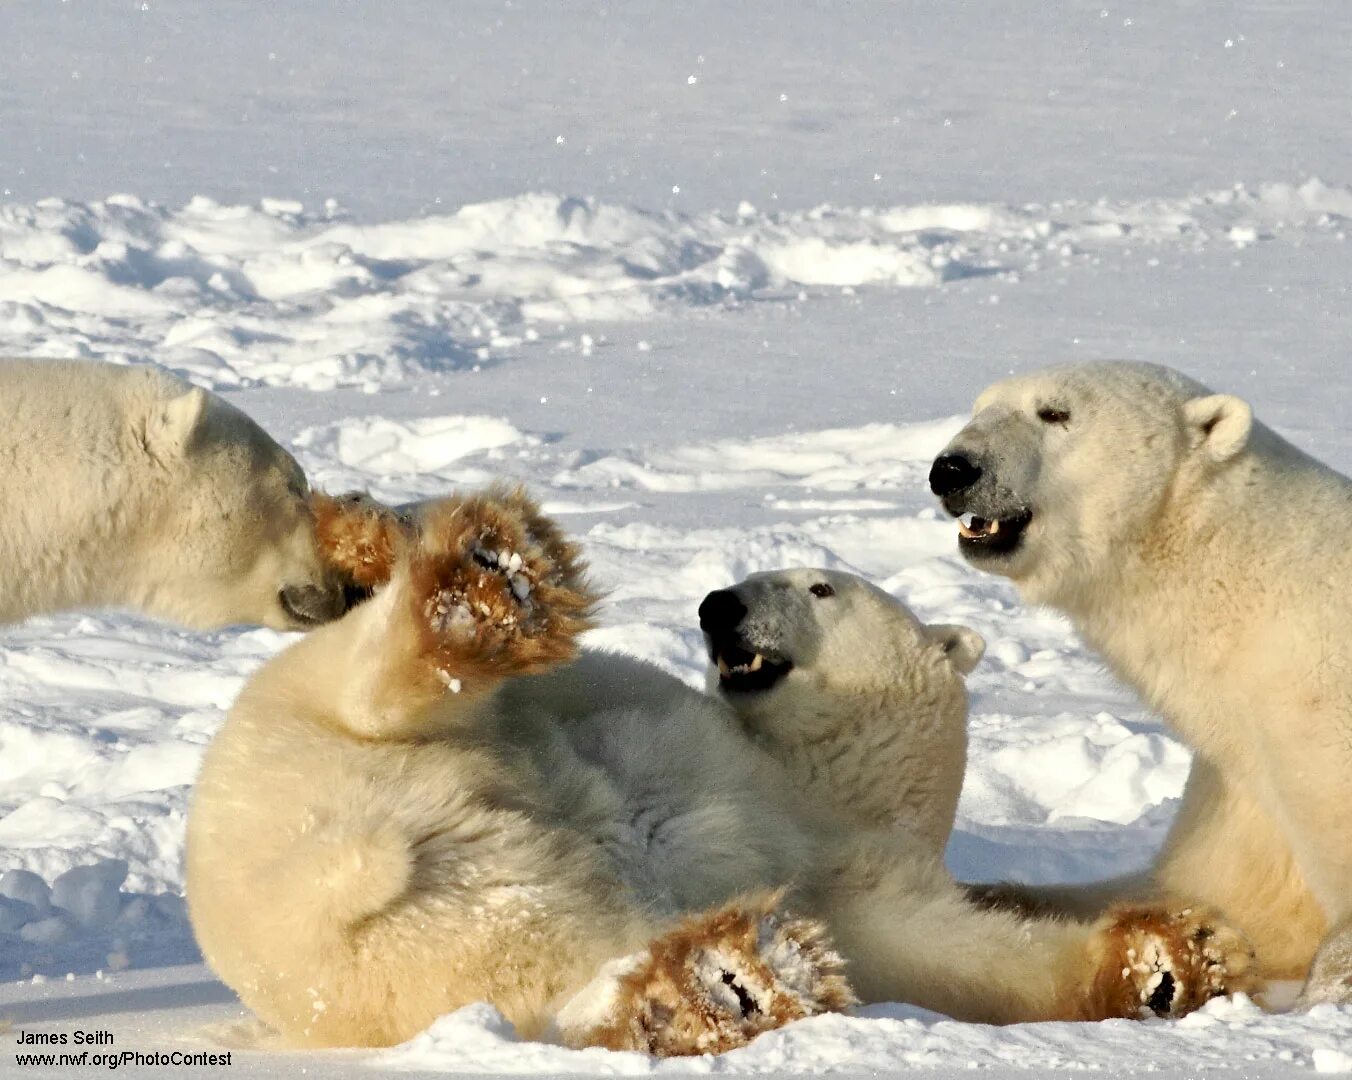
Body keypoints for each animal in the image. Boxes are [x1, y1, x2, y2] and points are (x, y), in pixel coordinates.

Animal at [182, 486, 1254, 1054]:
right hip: (329, 728)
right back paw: (483, 588)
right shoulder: (692, 731)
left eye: (819, 586)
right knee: (383, 689)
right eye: (756, 580)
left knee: (551, 963)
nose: (716, 605)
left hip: (438, 938)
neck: (820, 786)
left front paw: (1177, 963)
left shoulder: (857, 881)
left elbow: (956, 954)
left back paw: (719, 983)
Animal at [930, 362, 1352, 1005]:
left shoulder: (1316, 707)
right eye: (980, 407)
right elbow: (1224, 894)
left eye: (1055, 412)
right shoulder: (1246, 778)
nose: (953, 468)